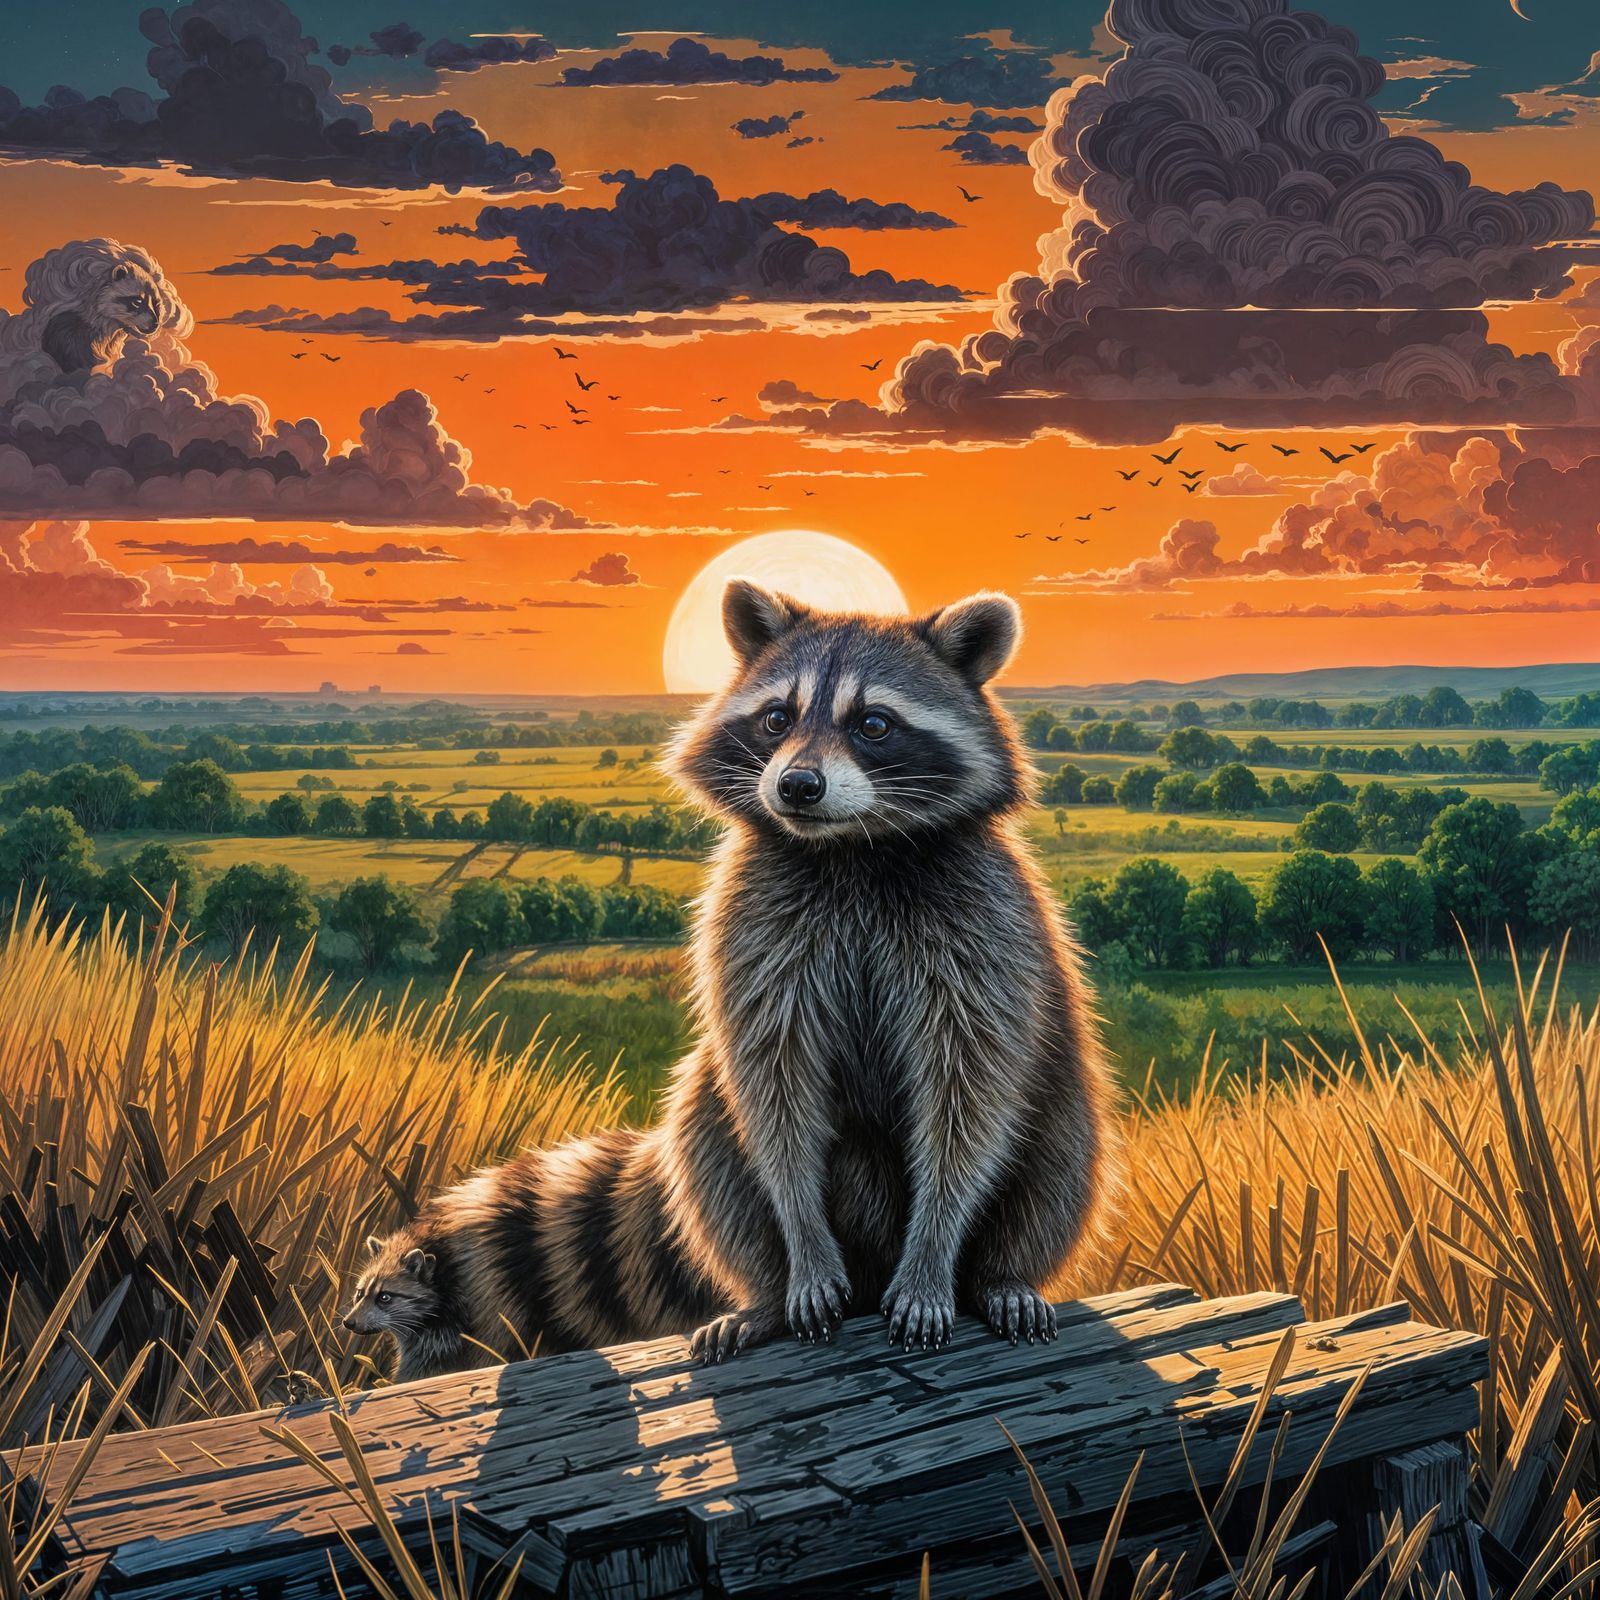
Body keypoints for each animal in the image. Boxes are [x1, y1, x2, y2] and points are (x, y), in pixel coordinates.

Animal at [658, 581, 1119, 1360]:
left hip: (1062, 1099)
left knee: (1062, 1147)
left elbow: (968, 1095)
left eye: (873, 724)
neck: (854, 849)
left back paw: (1001, 1277)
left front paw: (932, 1256)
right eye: (777, 717)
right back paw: (764, 1297)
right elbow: (773, 1087)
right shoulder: (755, 922)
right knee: (706, 1122)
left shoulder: (981, 929)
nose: (798, 785)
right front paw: (804, 1247)